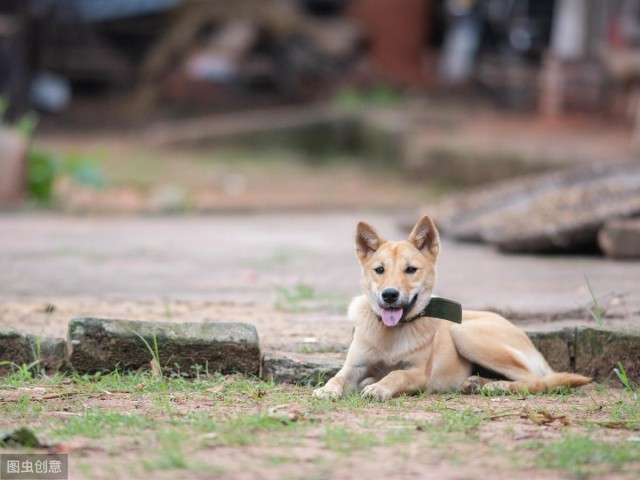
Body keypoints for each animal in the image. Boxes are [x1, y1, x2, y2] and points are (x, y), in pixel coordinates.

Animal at [312, 216, 592, 400]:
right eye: (379, 270)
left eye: (411, 269)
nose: (390, 295)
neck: (393, 333)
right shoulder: (354, 367)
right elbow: (338, 377)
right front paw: (327, 389)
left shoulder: (418, 374)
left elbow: (396, 375)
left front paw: (379, 387)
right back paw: (478, 382)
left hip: (464, 332)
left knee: (537, 381)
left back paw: (496, 387)